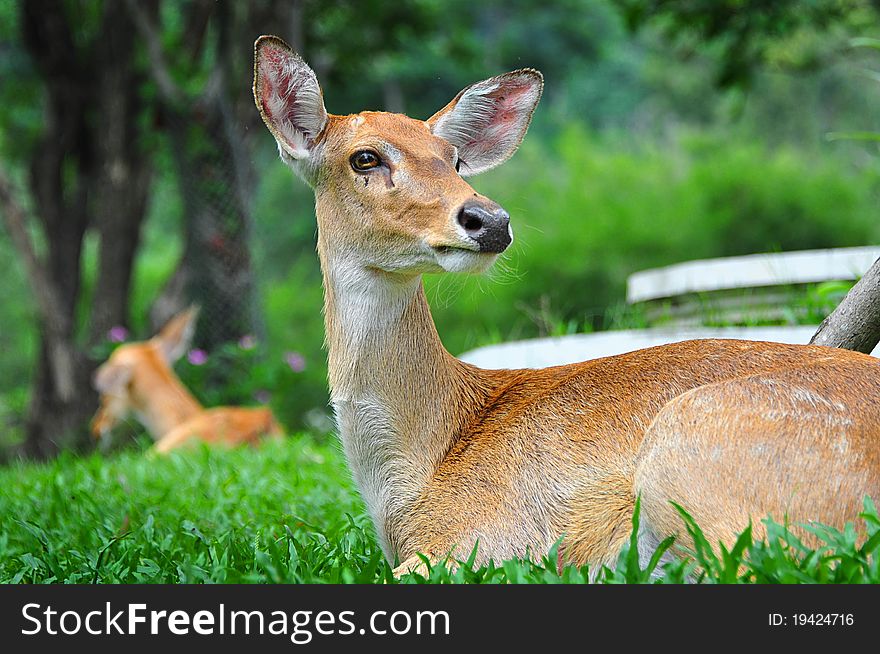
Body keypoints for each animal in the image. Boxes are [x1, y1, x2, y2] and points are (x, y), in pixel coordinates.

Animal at [251, 37, 880, 580]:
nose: (490, 220)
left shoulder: (480, 539)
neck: (417, 474)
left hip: (698, 449)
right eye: (364, 158)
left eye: (454, 160)